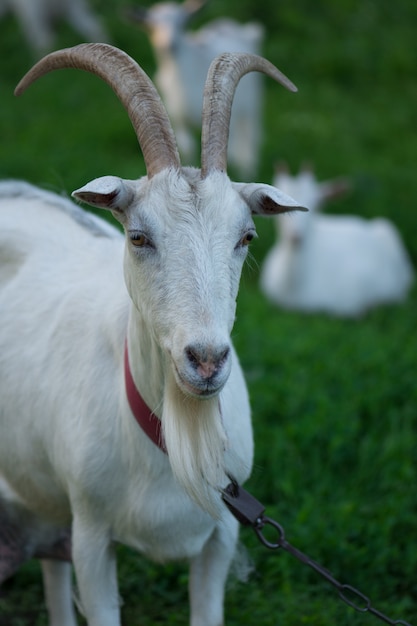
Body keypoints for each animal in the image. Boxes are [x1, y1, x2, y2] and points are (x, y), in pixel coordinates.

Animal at [128, 0, 264, 178]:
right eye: (152, 26)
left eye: (182, 24)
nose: (168, 45)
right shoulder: (177, 117)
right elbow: (187, 146)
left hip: (251, 103)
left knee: (249, 137)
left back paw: (248, 171)